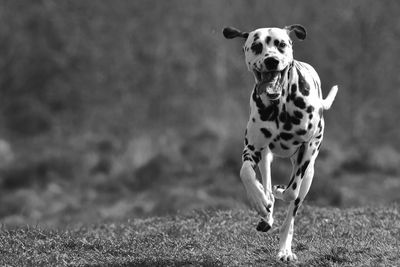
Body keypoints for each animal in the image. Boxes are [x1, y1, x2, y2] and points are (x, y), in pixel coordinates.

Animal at [222, 24, 338, 262]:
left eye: (281, 44)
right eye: (257, 46)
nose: (271, 60)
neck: (280, 106)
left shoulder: (307, 149)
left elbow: (291, 192)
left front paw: (279, 191)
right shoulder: (252, 149)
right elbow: (246, 173)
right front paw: (260, 200)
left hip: (309, 173)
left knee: (292, 211)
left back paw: (285, 249)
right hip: (266, 156)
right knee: (264, 179)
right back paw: (266, 207)